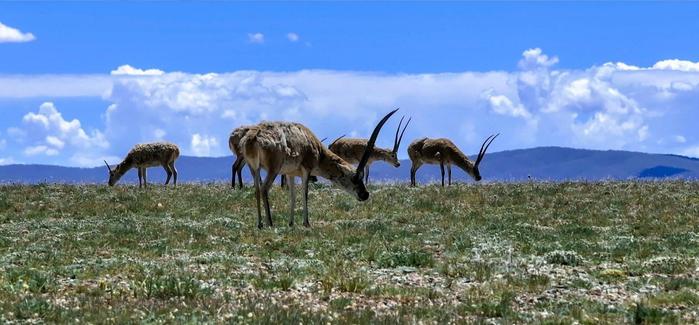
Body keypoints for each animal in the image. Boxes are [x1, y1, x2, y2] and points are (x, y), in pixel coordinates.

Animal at [242, 109, 400, 228]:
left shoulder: (290, 173)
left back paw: (260, 224)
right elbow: (304, 193)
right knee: (264, 188)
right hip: (273, 169)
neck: (317, 149)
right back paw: (270, 223)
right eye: (354, 178)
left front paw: (291, 223)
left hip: (254, 168)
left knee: (257, 189)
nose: (365, 195)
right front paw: (306, 223)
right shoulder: (306, 170)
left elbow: (292, 195)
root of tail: (253, 136)